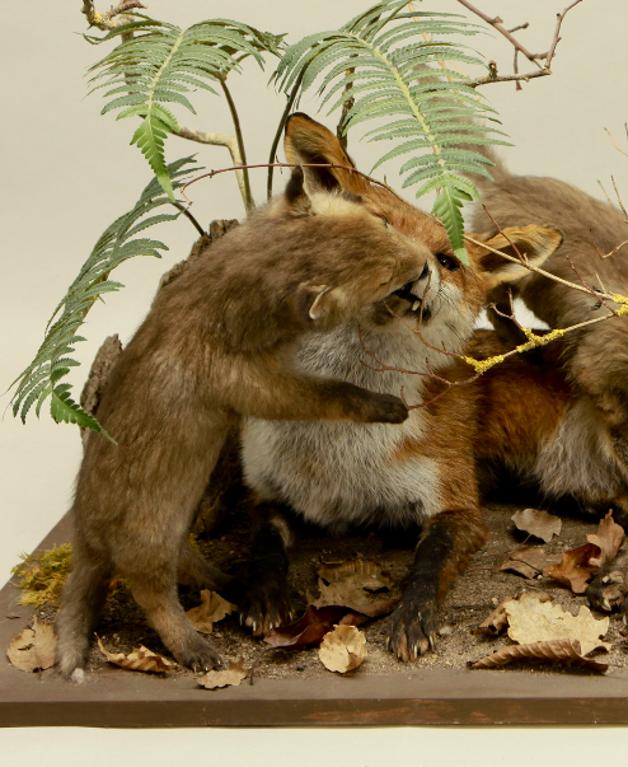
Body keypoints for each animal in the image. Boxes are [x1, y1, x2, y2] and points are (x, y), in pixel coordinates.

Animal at [54, 167, 436, 680]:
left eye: (383, 225)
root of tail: (85, 539)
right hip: (149, 543)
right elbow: (322, 395)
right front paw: (388, 406)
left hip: (176, 538)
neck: (209, 307)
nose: (424, 265)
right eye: (383, 277)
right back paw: (197, 650)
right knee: (154, 597)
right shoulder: (247, 382)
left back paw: (239, 582)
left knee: (193, 571)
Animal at [237, 113, 564, 660]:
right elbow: (260, 545)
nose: (417, 269)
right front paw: (262, 594)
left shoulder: (455, 500)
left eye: (448, 260)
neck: (334, 449)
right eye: (381, 226)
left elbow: (429, 563)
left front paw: (413, 616)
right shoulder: (264, 488)